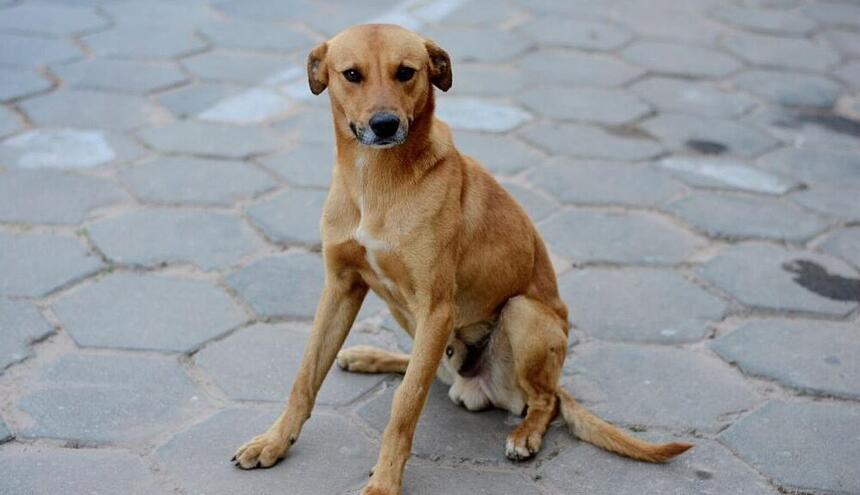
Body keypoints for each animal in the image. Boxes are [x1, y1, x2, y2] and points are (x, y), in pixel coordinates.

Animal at [230, 24, 692, 495]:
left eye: (406, 72)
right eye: (352, 74)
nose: (384, 124)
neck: (376, 181)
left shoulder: (436, 308)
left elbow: (406, 402)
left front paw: (385, 481)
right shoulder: (341, 287)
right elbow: (305, 377)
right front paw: (274, 441)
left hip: (523, 314)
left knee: (542, 399)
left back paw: (525, 433)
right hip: (409, 315)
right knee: (429, 367)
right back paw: (370, 356)